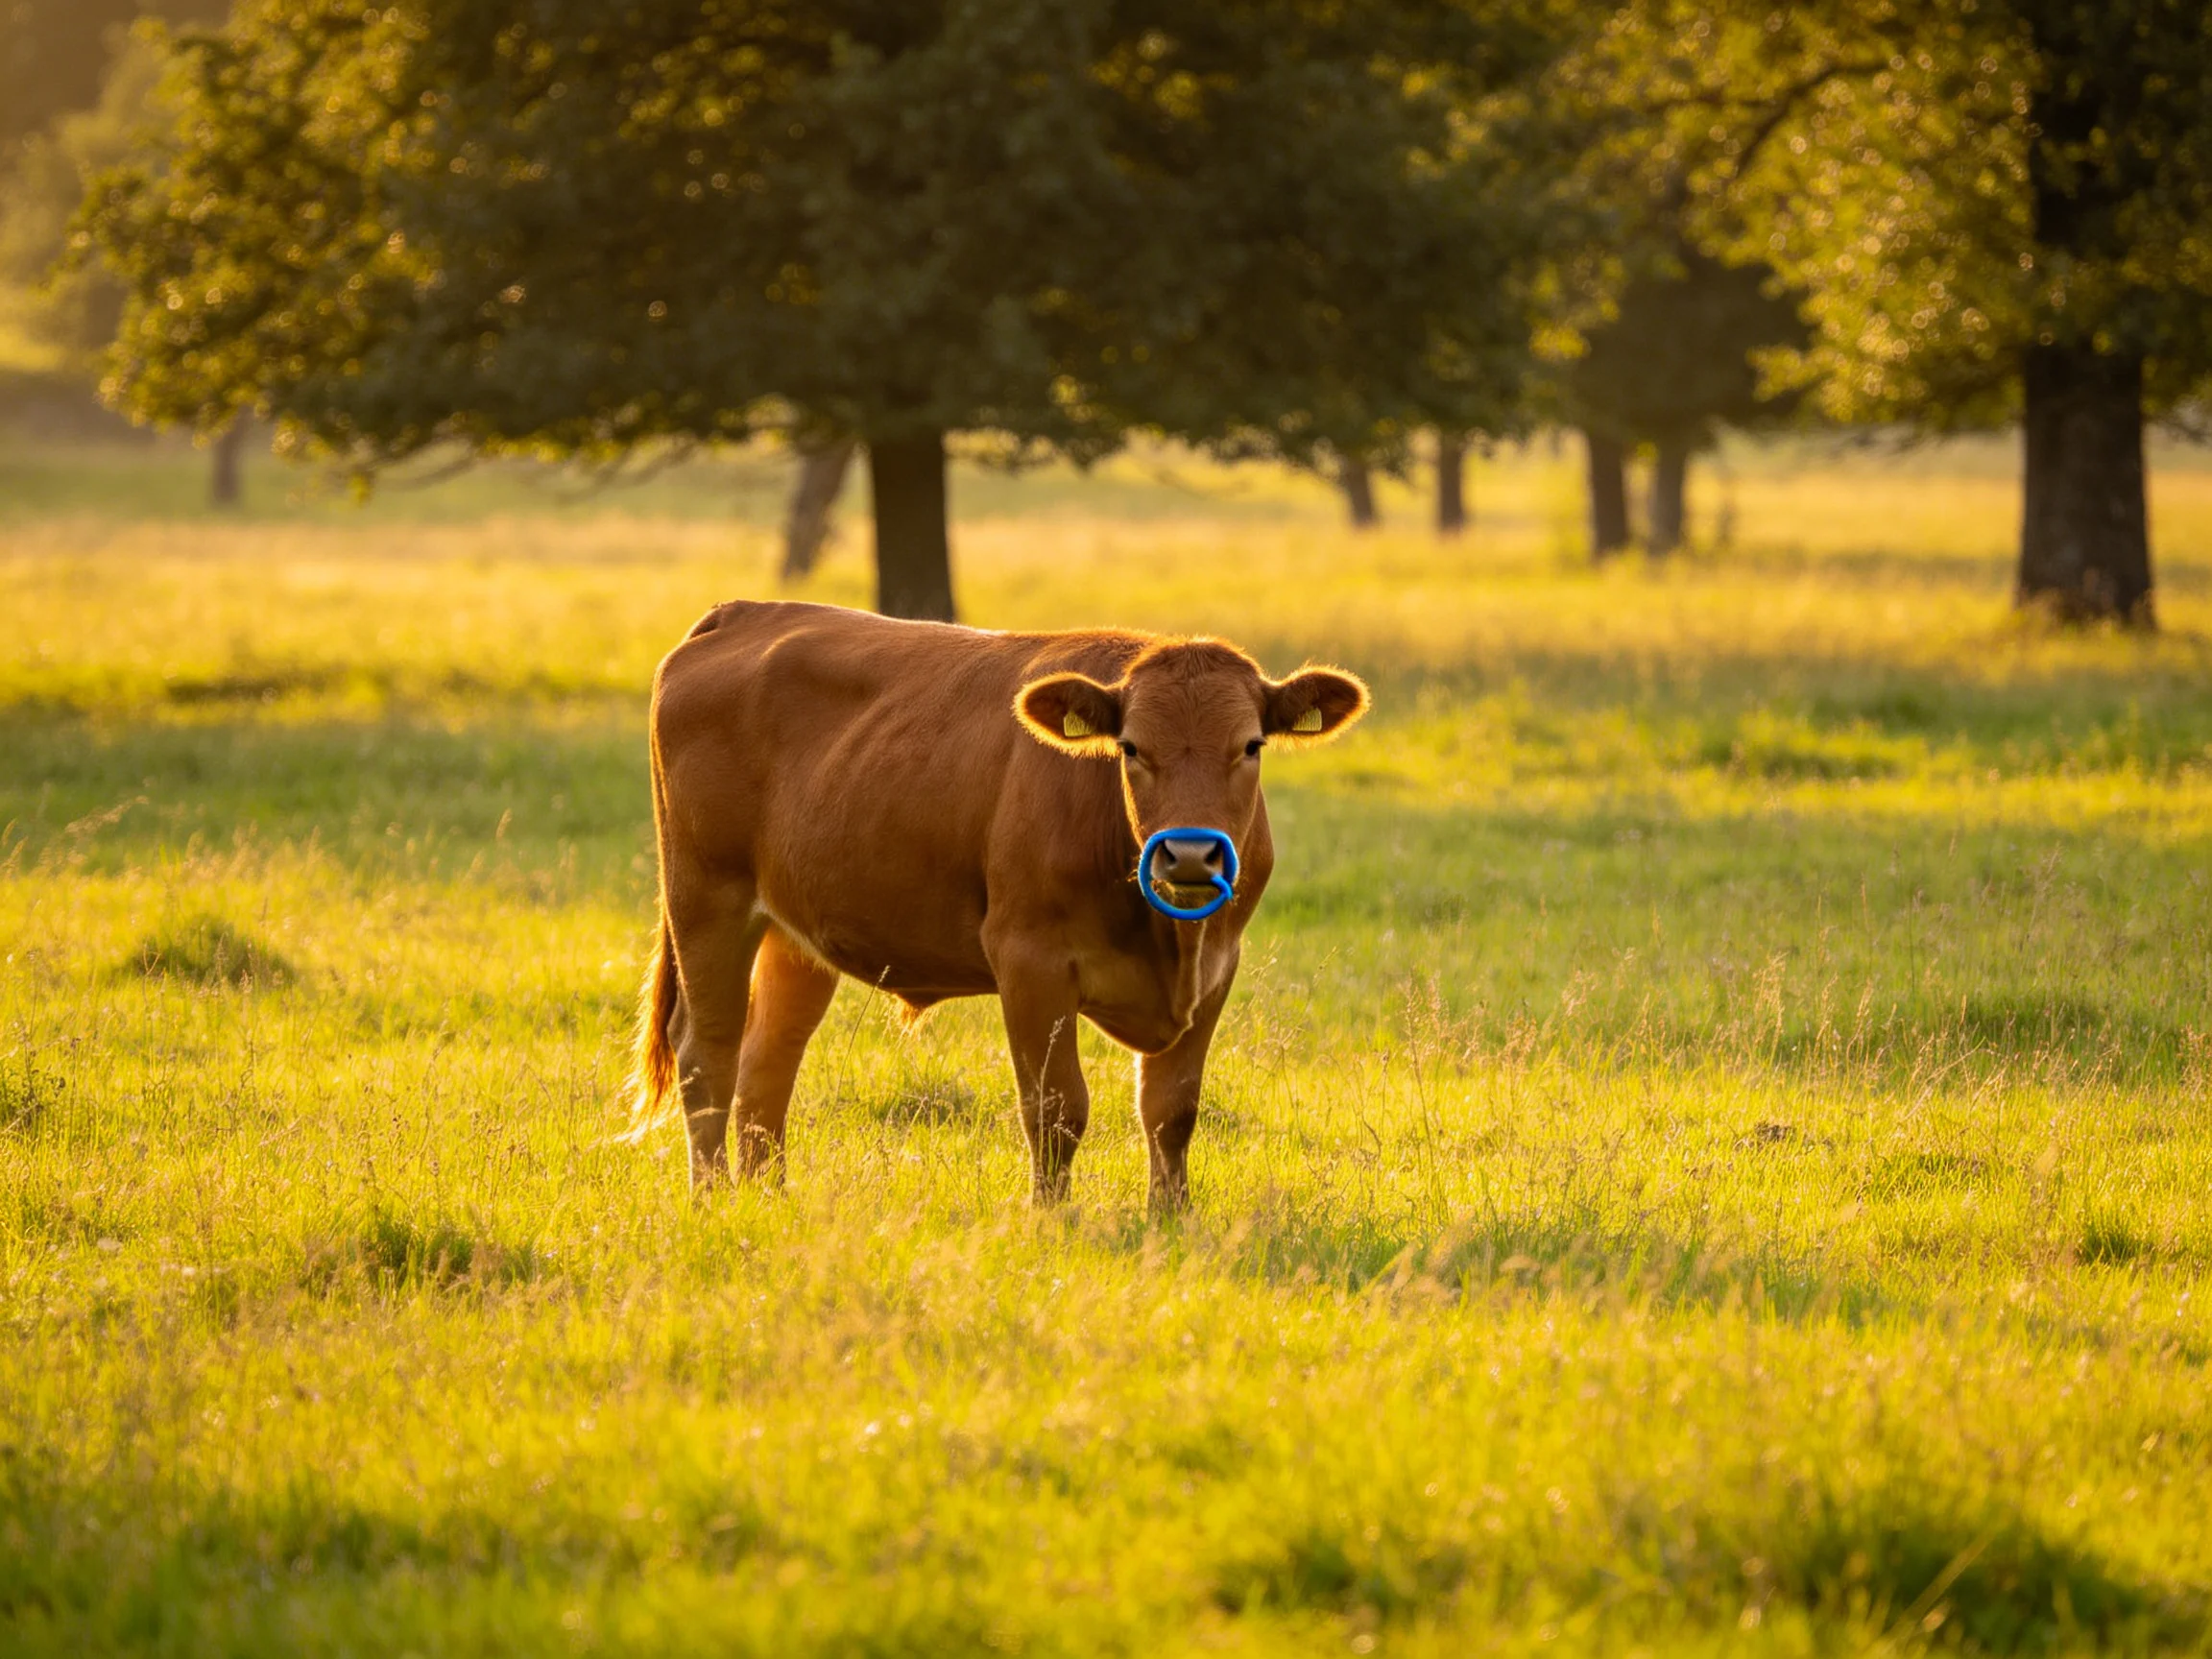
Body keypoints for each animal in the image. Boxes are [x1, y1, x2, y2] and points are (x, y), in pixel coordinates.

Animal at [629, 599, 1369, 1208]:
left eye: (1251, 745)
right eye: (1132, 748)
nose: (1189, 855)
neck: (1168, 941)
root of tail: (744, 612)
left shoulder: (1217, 967)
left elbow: (1171, 1109)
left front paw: (1170, 1218)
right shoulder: (1030, 962)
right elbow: (1056, 1108)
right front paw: (1052, 1220)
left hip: (796, 933)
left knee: (767, 1062)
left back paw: (769, 1198)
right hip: (707, 900)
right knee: (709, 1054)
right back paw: (711, 1199)